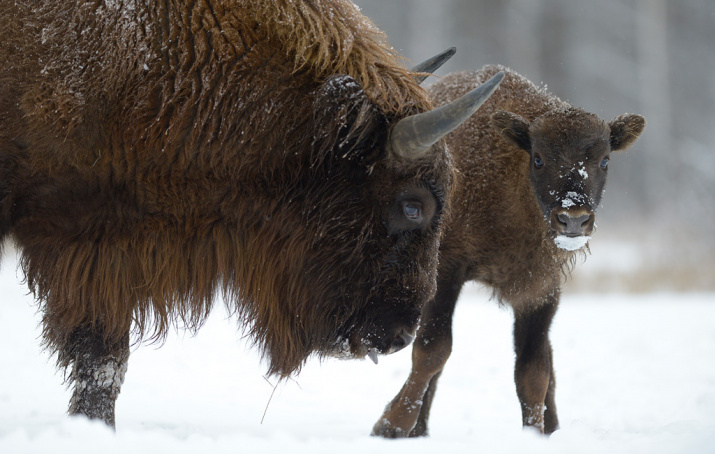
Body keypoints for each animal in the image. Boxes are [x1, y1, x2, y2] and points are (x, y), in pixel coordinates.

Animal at [372, 63, 648, 436]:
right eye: (539, 159)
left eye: (604, 161)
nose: (573, 219)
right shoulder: (446, 271)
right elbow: (432, 351)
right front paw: (390, 425)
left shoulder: (541, 289)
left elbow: (533, 371)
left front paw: (534, 434)